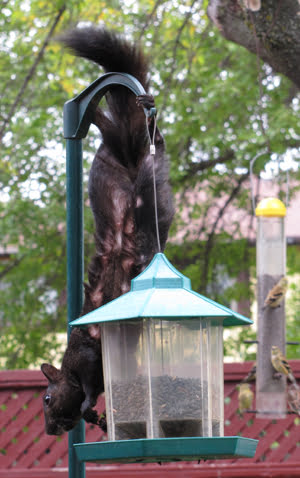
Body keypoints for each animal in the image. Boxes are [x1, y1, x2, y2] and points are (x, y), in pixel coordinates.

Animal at [41, 27, 175, 436]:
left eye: (47, 399)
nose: (50, 429)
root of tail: (127, 157)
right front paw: (96, 417)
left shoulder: (86, 354)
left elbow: (88, 383)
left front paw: (87, 404)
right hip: (109, 170)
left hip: (143, 185)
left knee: (150, 145)